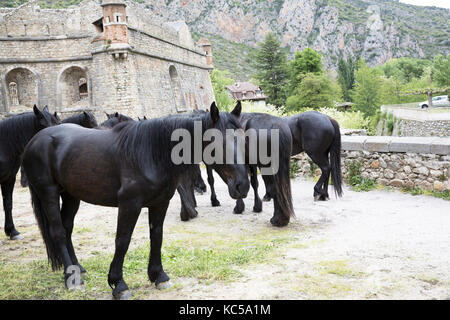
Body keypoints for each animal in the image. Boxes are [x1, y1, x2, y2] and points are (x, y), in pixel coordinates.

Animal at [0, 106, 59, 239]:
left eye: (58, 123)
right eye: (42, 124)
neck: (3, 146)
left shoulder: (9, 178)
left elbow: (8, 203)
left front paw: (12, 231)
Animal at [22, 102, 250, 300]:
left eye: (244, 139)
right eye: (217, 142)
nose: (242, 186)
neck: (150, 153)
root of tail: (35, 140)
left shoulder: (160, 203)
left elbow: (157, 237)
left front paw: (159, 276)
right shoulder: (129, 205)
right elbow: (122, 241)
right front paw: (118, 285)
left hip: (71, 195)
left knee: (67, 227)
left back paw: (76, 269)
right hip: (49, 193)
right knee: (58, 232)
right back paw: (72, 280)